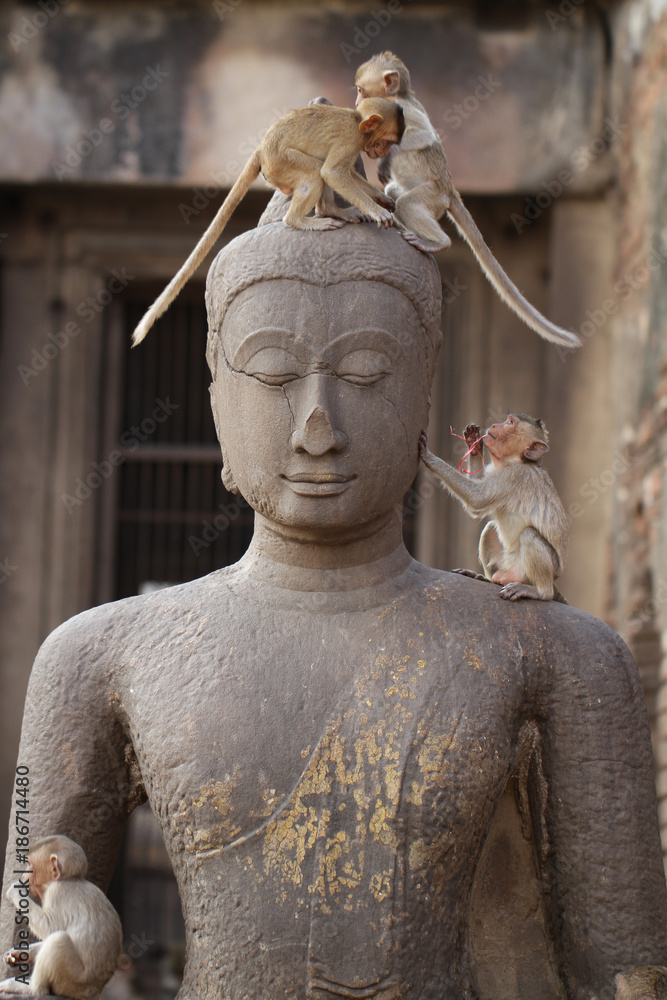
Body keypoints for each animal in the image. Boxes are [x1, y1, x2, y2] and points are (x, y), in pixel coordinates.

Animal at [0, 835, 122, 999]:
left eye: (30, 865)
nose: (24, 875)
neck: (69, 879)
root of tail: (95, 991)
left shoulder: (55, 892)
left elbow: (51, 927)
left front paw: (16, 892)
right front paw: (18, 953)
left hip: (73, 981)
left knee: (58, 940)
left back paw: (31, 989)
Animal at [132, 98, 405, 346]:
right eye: (384, 141)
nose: (381, 153)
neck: (357, 120)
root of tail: (262, 148)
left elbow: (346, 173)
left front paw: (382, 198)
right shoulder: (350, 140)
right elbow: (334, 172)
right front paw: (377, 211)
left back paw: (333, 211)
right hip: (281, 162)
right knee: (315, 172)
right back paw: (301, 219)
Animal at [354, 52, 582, 350]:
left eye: (361, 90)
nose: (356, 102)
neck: (402, 96)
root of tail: (450, 190)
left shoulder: (402, 110)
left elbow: (423, 136)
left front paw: (387, 155)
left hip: (433, 194)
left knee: (406, 203)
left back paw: (439, 242)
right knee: (394, 193)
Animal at [419, 413, 568, 602]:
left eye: (510, 423)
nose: (496, 425)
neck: (514, 461)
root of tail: (554, 580)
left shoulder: (514, 477)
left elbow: (477, 499)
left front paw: (429, 456)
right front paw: (474, 444)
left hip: (540, 570)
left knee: (529, 534)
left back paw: (539, 592)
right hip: (505, 565)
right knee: (490, 528)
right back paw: (486, 579)